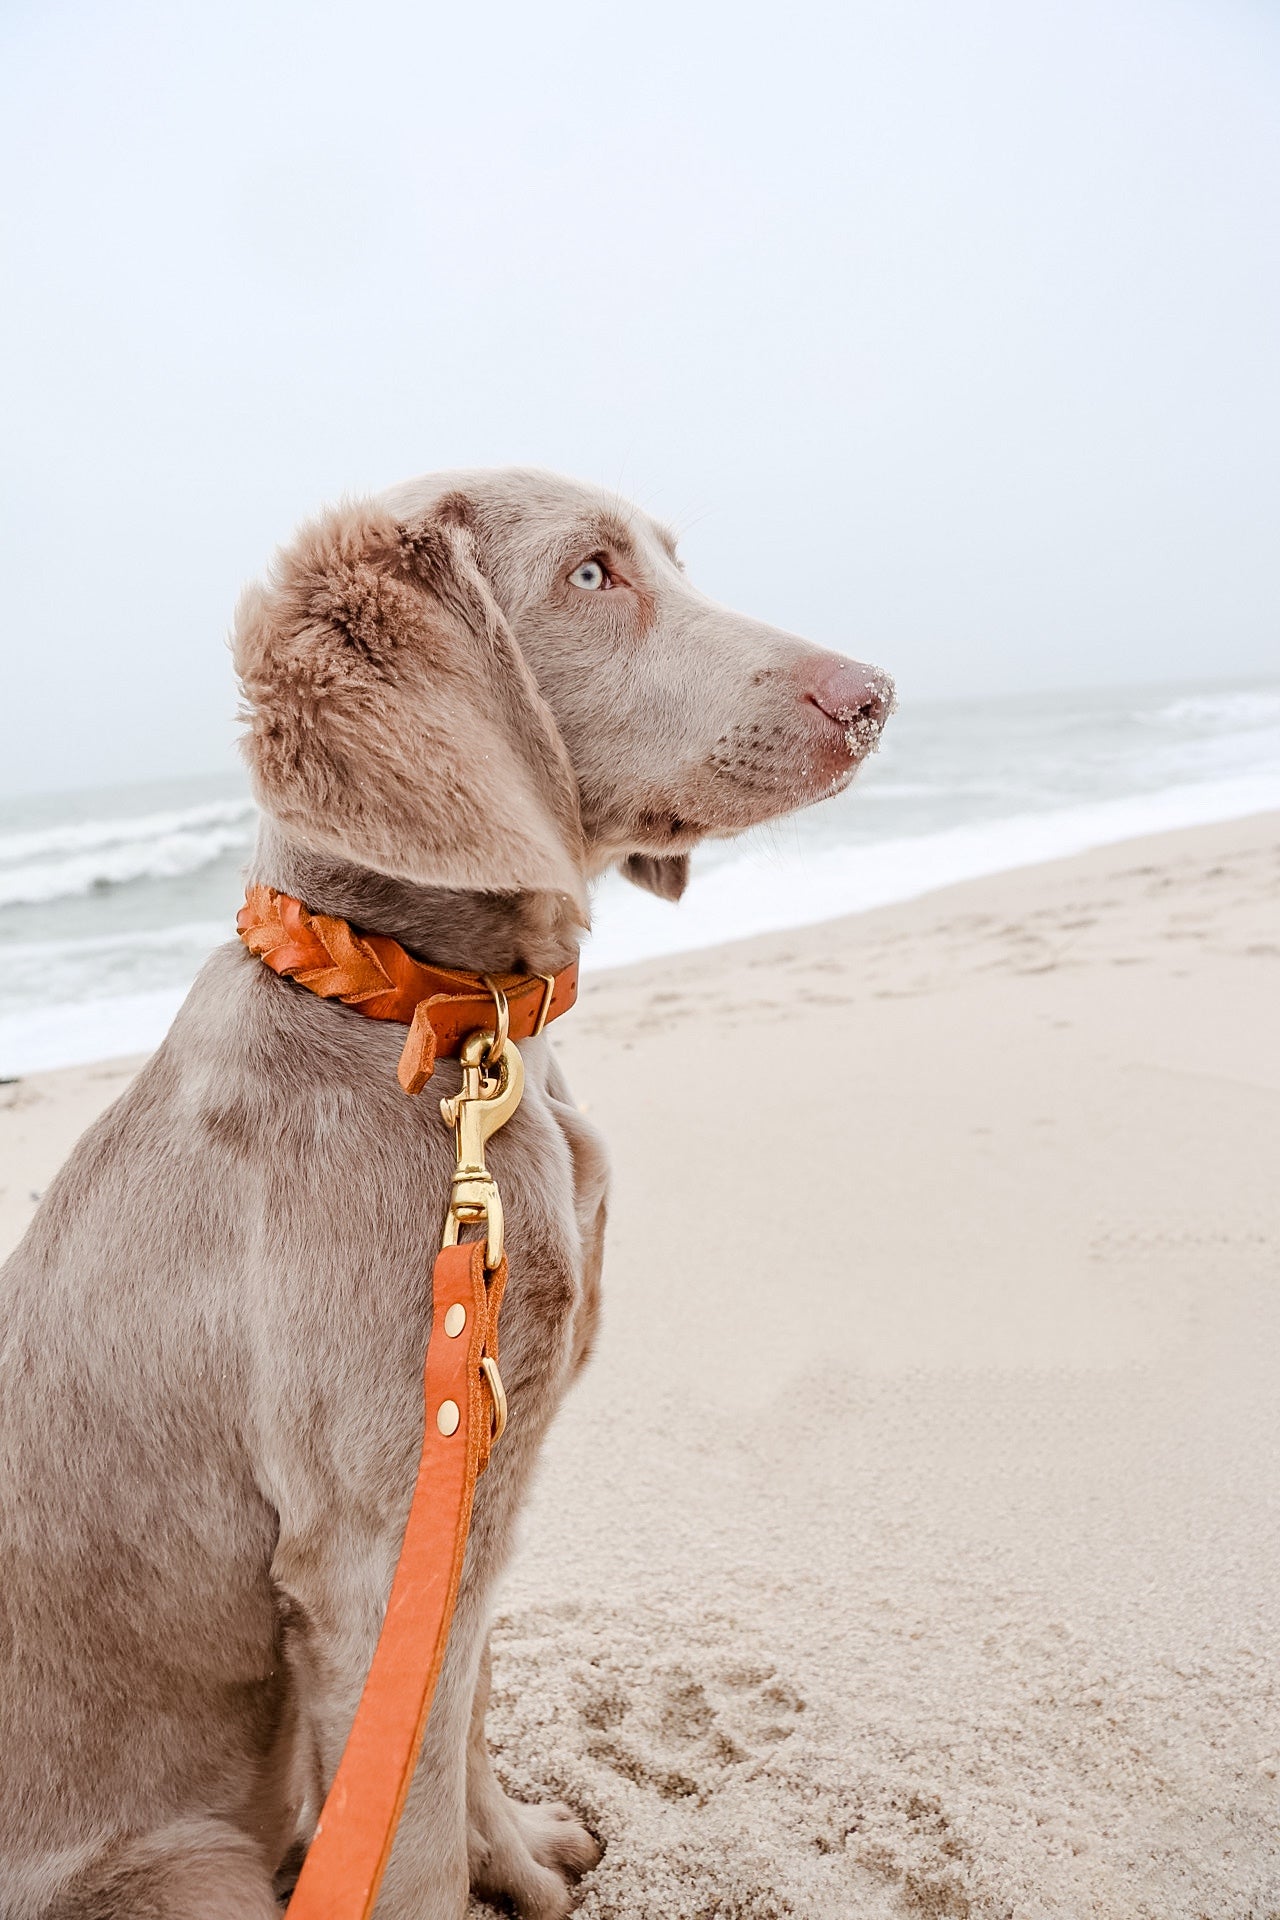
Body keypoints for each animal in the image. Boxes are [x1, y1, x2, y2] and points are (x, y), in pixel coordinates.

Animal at [0, 468, 890, 1920]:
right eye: (590, 575)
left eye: (670, 558)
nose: (873, 694)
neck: (427, 1014)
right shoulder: (368, 1545)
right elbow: (405, 1829)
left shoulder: (470, 1485)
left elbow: (457, 1711)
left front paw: (517, 1855)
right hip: (190, 1872)